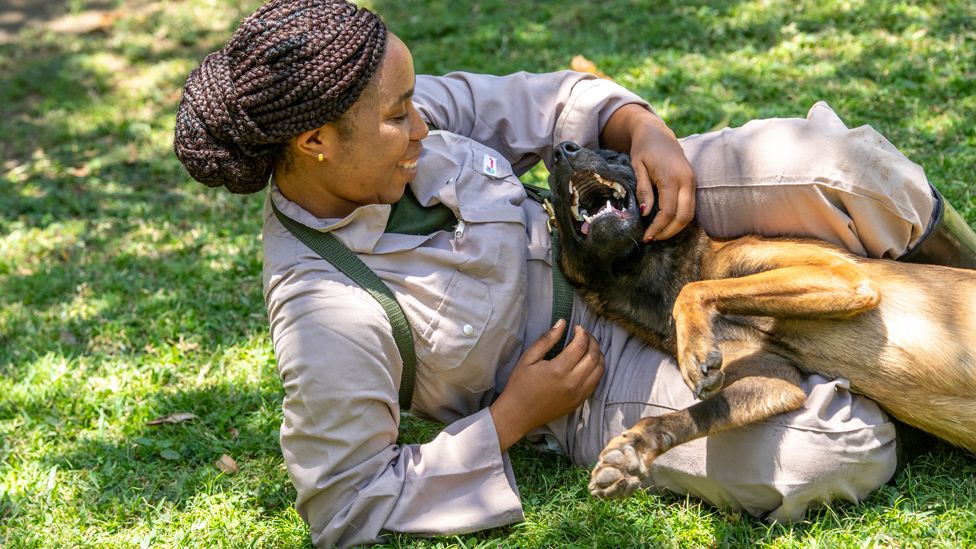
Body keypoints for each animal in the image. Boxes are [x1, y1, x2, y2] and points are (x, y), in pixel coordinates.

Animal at [548, 142, 976, 500]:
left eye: (616, 156)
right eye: (552, 190)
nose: (561, 149)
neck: (647, 279)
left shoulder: (843, 278)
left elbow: (698, 290)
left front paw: (693, 349)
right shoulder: (777, 381)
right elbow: (696, 413)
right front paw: (632, 451)